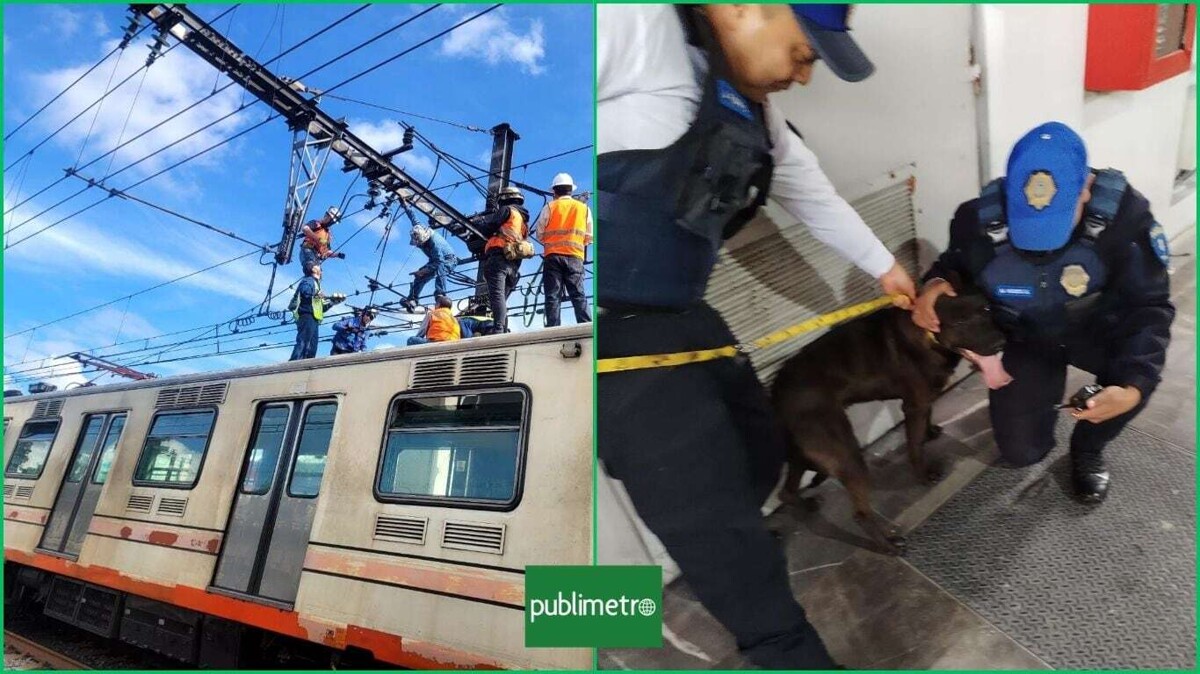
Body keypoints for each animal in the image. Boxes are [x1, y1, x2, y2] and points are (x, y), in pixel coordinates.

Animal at [768, 292, 1003, 551]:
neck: (926, 333)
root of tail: (775, 395)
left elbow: (927, 417)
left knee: (785, 492)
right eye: (960, 322)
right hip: (845, 453)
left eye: (986, 309)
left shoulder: (923, 400)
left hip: (803, 451)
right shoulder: (913, 406)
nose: (1000, 344)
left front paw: (929, 431)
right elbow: (914, 447)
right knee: (860, 514)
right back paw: (888, 545)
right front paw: (923, 474)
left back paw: (804, 504)